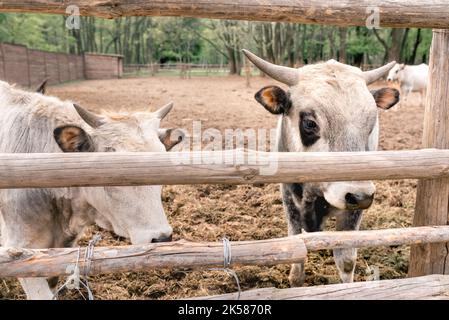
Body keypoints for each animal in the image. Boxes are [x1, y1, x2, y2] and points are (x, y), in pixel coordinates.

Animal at [243, 49, 400, 284]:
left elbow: (346, 261)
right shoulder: (289, 200)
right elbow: (296, 259)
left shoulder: (352, 213)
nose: (360, 196)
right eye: (310, 123)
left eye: (372, 123)